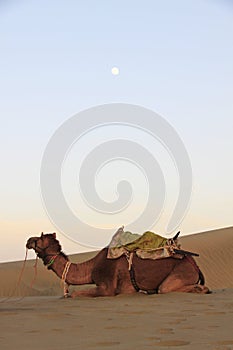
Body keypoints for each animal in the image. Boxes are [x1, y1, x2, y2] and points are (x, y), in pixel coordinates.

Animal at [25, 232, 209, 298]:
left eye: (40, 238)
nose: (28, 240)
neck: (91, 267)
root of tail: (195, 265)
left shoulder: (107, 287)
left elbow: (75, 294)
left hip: (182, 271)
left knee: (165, 288)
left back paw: (201, 289)